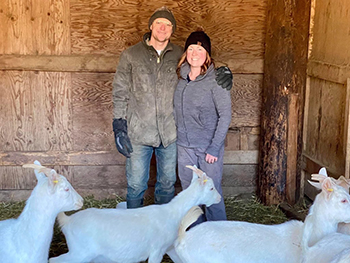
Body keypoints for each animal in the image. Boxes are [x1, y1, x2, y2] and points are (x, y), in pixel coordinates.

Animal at [49, 166, 220, 262]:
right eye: (211, 188)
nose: (219, 198)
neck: (173, 214)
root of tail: (67, 221)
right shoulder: (156, 250)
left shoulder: (170, 247)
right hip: (80, 252)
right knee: (54, 260)